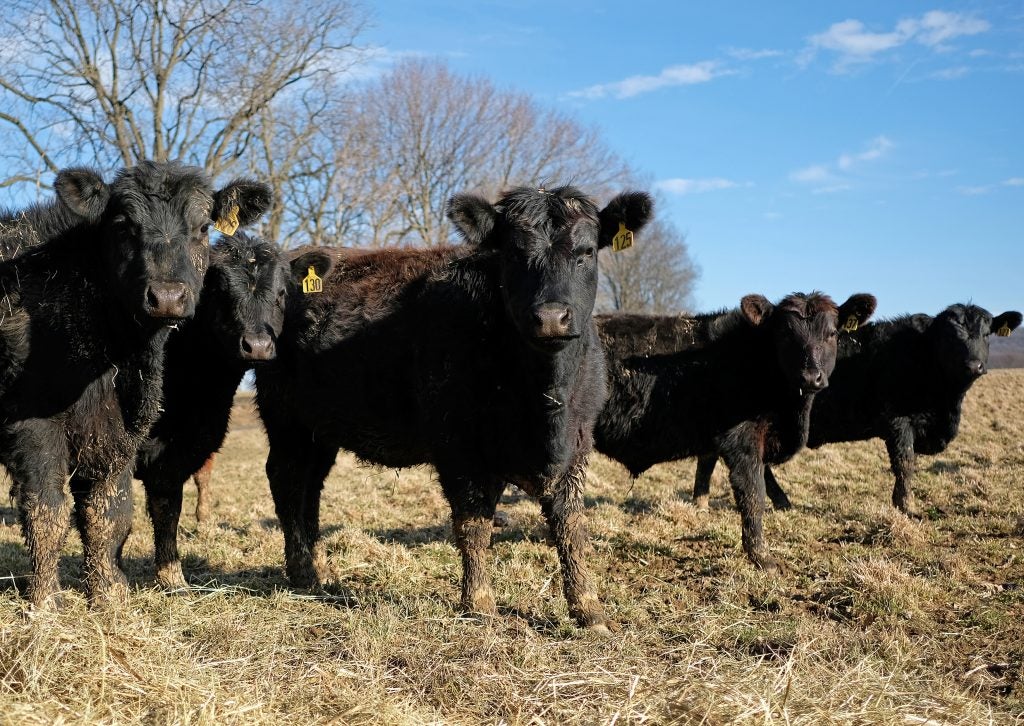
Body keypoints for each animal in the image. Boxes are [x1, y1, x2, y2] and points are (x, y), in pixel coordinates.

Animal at [0, 162, 270, 606]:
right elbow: (48, 511)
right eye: (124, 225)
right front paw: (45, 600)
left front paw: (108, 594)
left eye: (202, 227)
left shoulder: (122, 429)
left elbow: (111, 512)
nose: (167, 297)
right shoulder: (33, 426)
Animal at [260, 187, 651, 626]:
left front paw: (588, 606)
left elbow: (571, 526)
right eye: (513, 254)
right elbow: (473, 524)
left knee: (311, 485)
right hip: (284, 417)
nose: (551, 318)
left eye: (586, 252)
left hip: (319, 429)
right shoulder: (458, 448)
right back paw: (303, 572)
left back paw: (320, 568)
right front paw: (479, 602)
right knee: (287, 479)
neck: (545, 403)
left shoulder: (577, 445)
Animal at [598, 290, 876, 569]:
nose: (810, 377)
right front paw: (762, 557)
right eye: (785, 334)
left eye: (831, 333)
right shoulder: (741, 440)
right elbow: (753, 494)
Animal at [696, 303, 1024, 511]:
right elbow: (905, 463)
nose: (974, 365)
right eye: (949, 336)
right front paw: (906, 507)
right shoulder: (897, 421)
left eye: (986, 333)